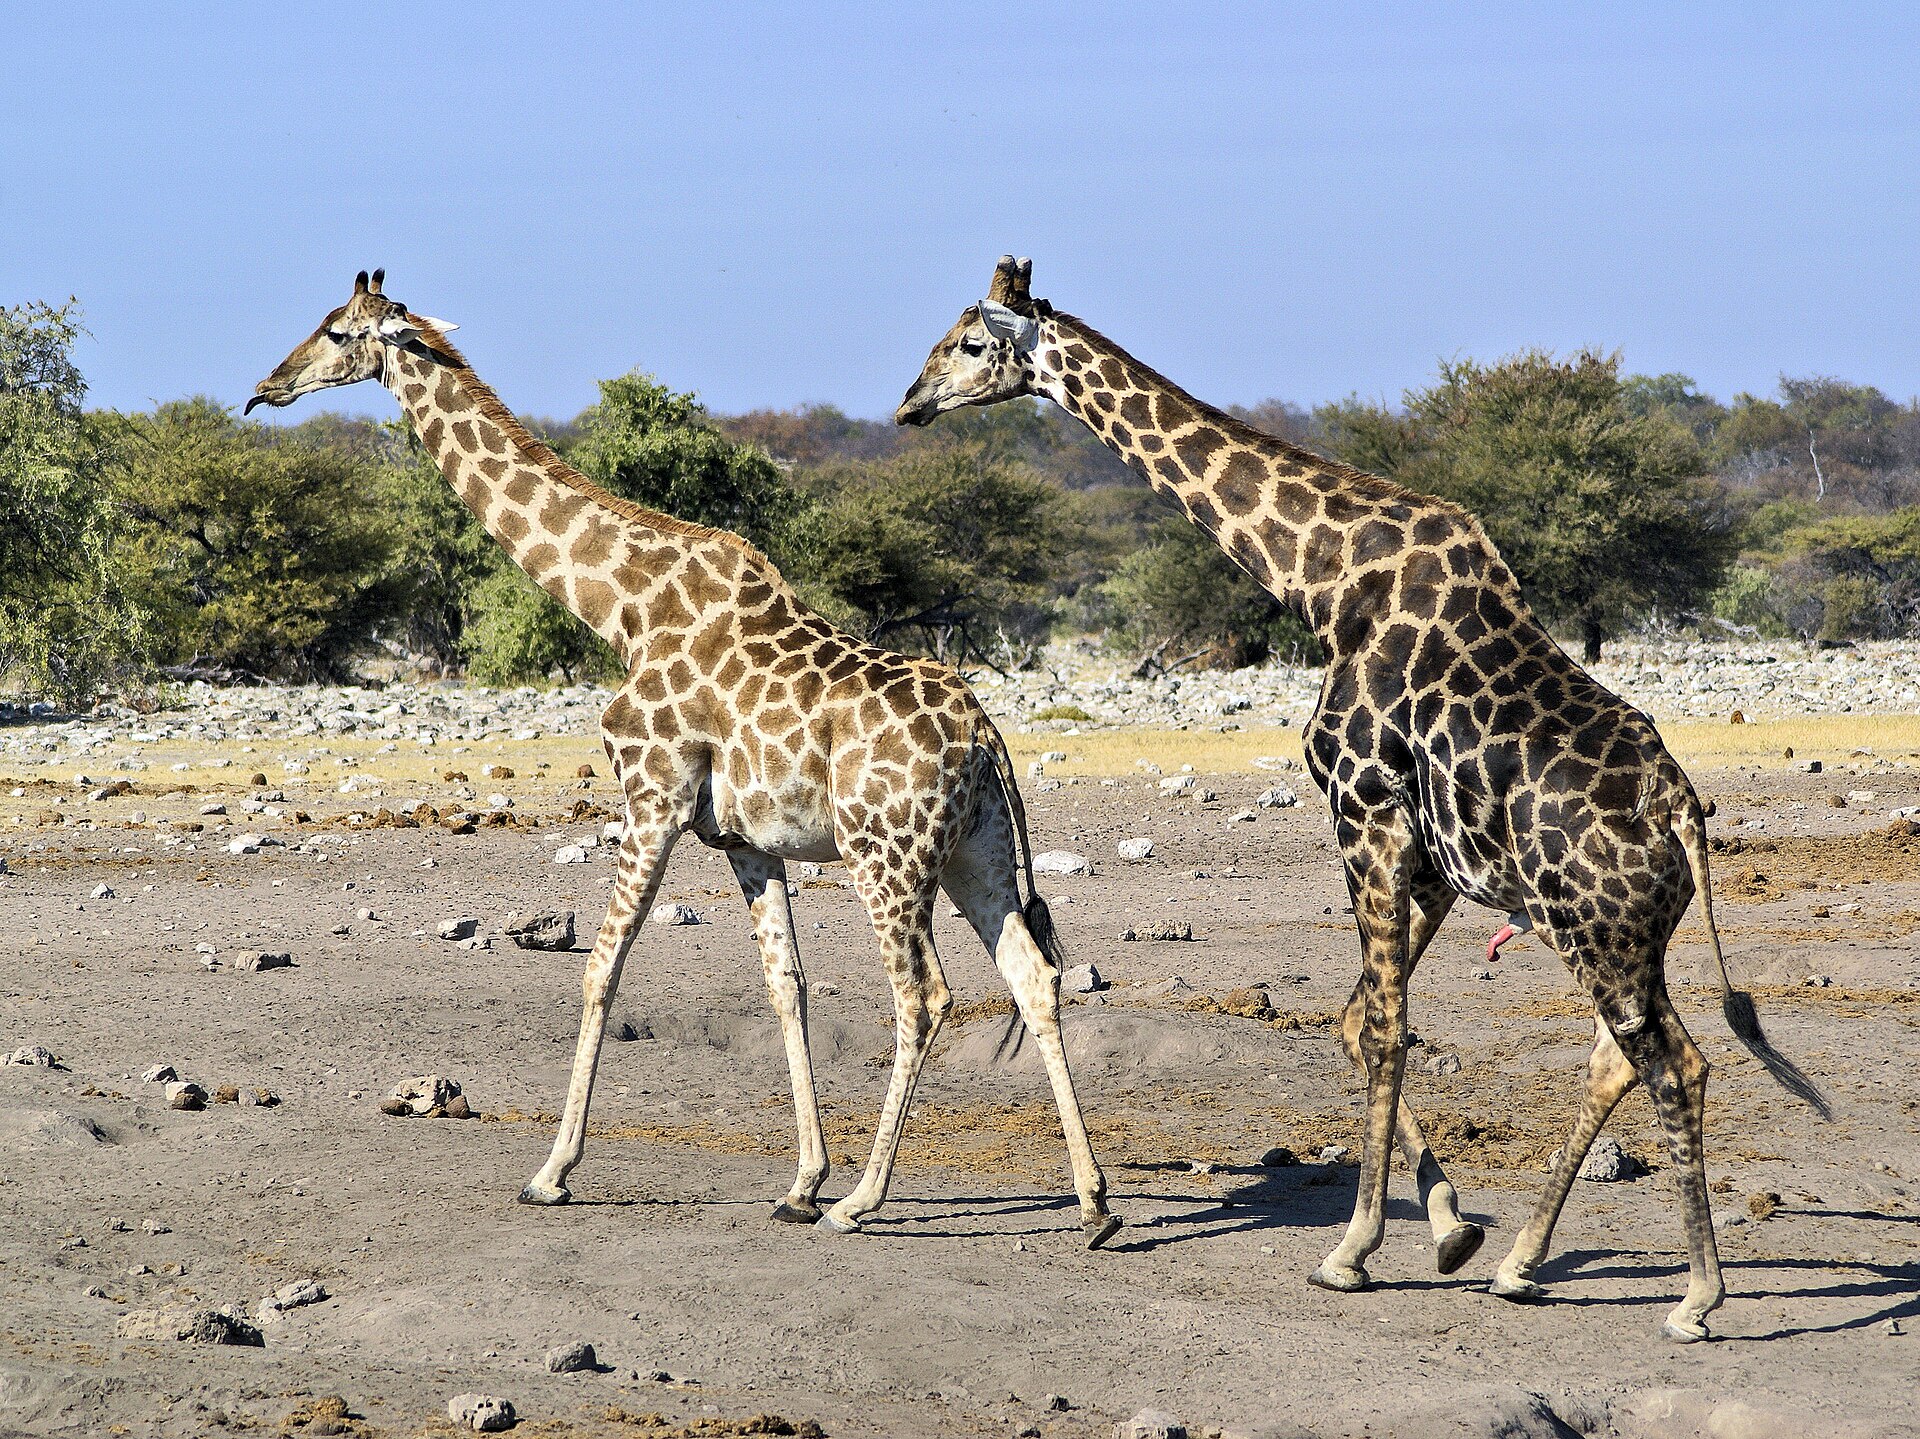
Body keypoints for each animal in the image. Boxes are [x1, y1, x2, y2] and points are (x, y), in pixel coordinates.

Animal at [247, 269, 1121, 1246]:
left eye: (334, 330)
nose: (266, 387)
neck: (621, 605)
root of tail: (984, 736)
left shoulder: (652, 794)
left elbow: (602, 965)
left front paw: (553, 1170)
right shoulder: (744, 839)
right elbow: (787, 983)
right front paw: (800, 1178)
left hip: (884, 855)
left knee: (926, 996)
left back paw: (865, 1200)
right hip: (976, 853)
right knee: (1034, 976)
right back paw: (1093, 1202)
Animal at [897, 256, 1830, 1339]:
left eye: (969, 342)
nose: (910, 404)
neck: (1323, 582)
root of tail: (1682, 812)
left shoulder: (1363, 805)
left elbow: (1383, 1026)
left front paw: (1352, 1249)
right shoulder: (1432, 860)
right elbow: (1356, 1018)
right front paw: (1450, 1228)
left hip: (1596, 928)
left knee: (1674, 1063)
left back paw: (1696, 1295)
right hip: (1622, 933)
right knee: (1620, 1057)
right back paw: (1521, 1264)